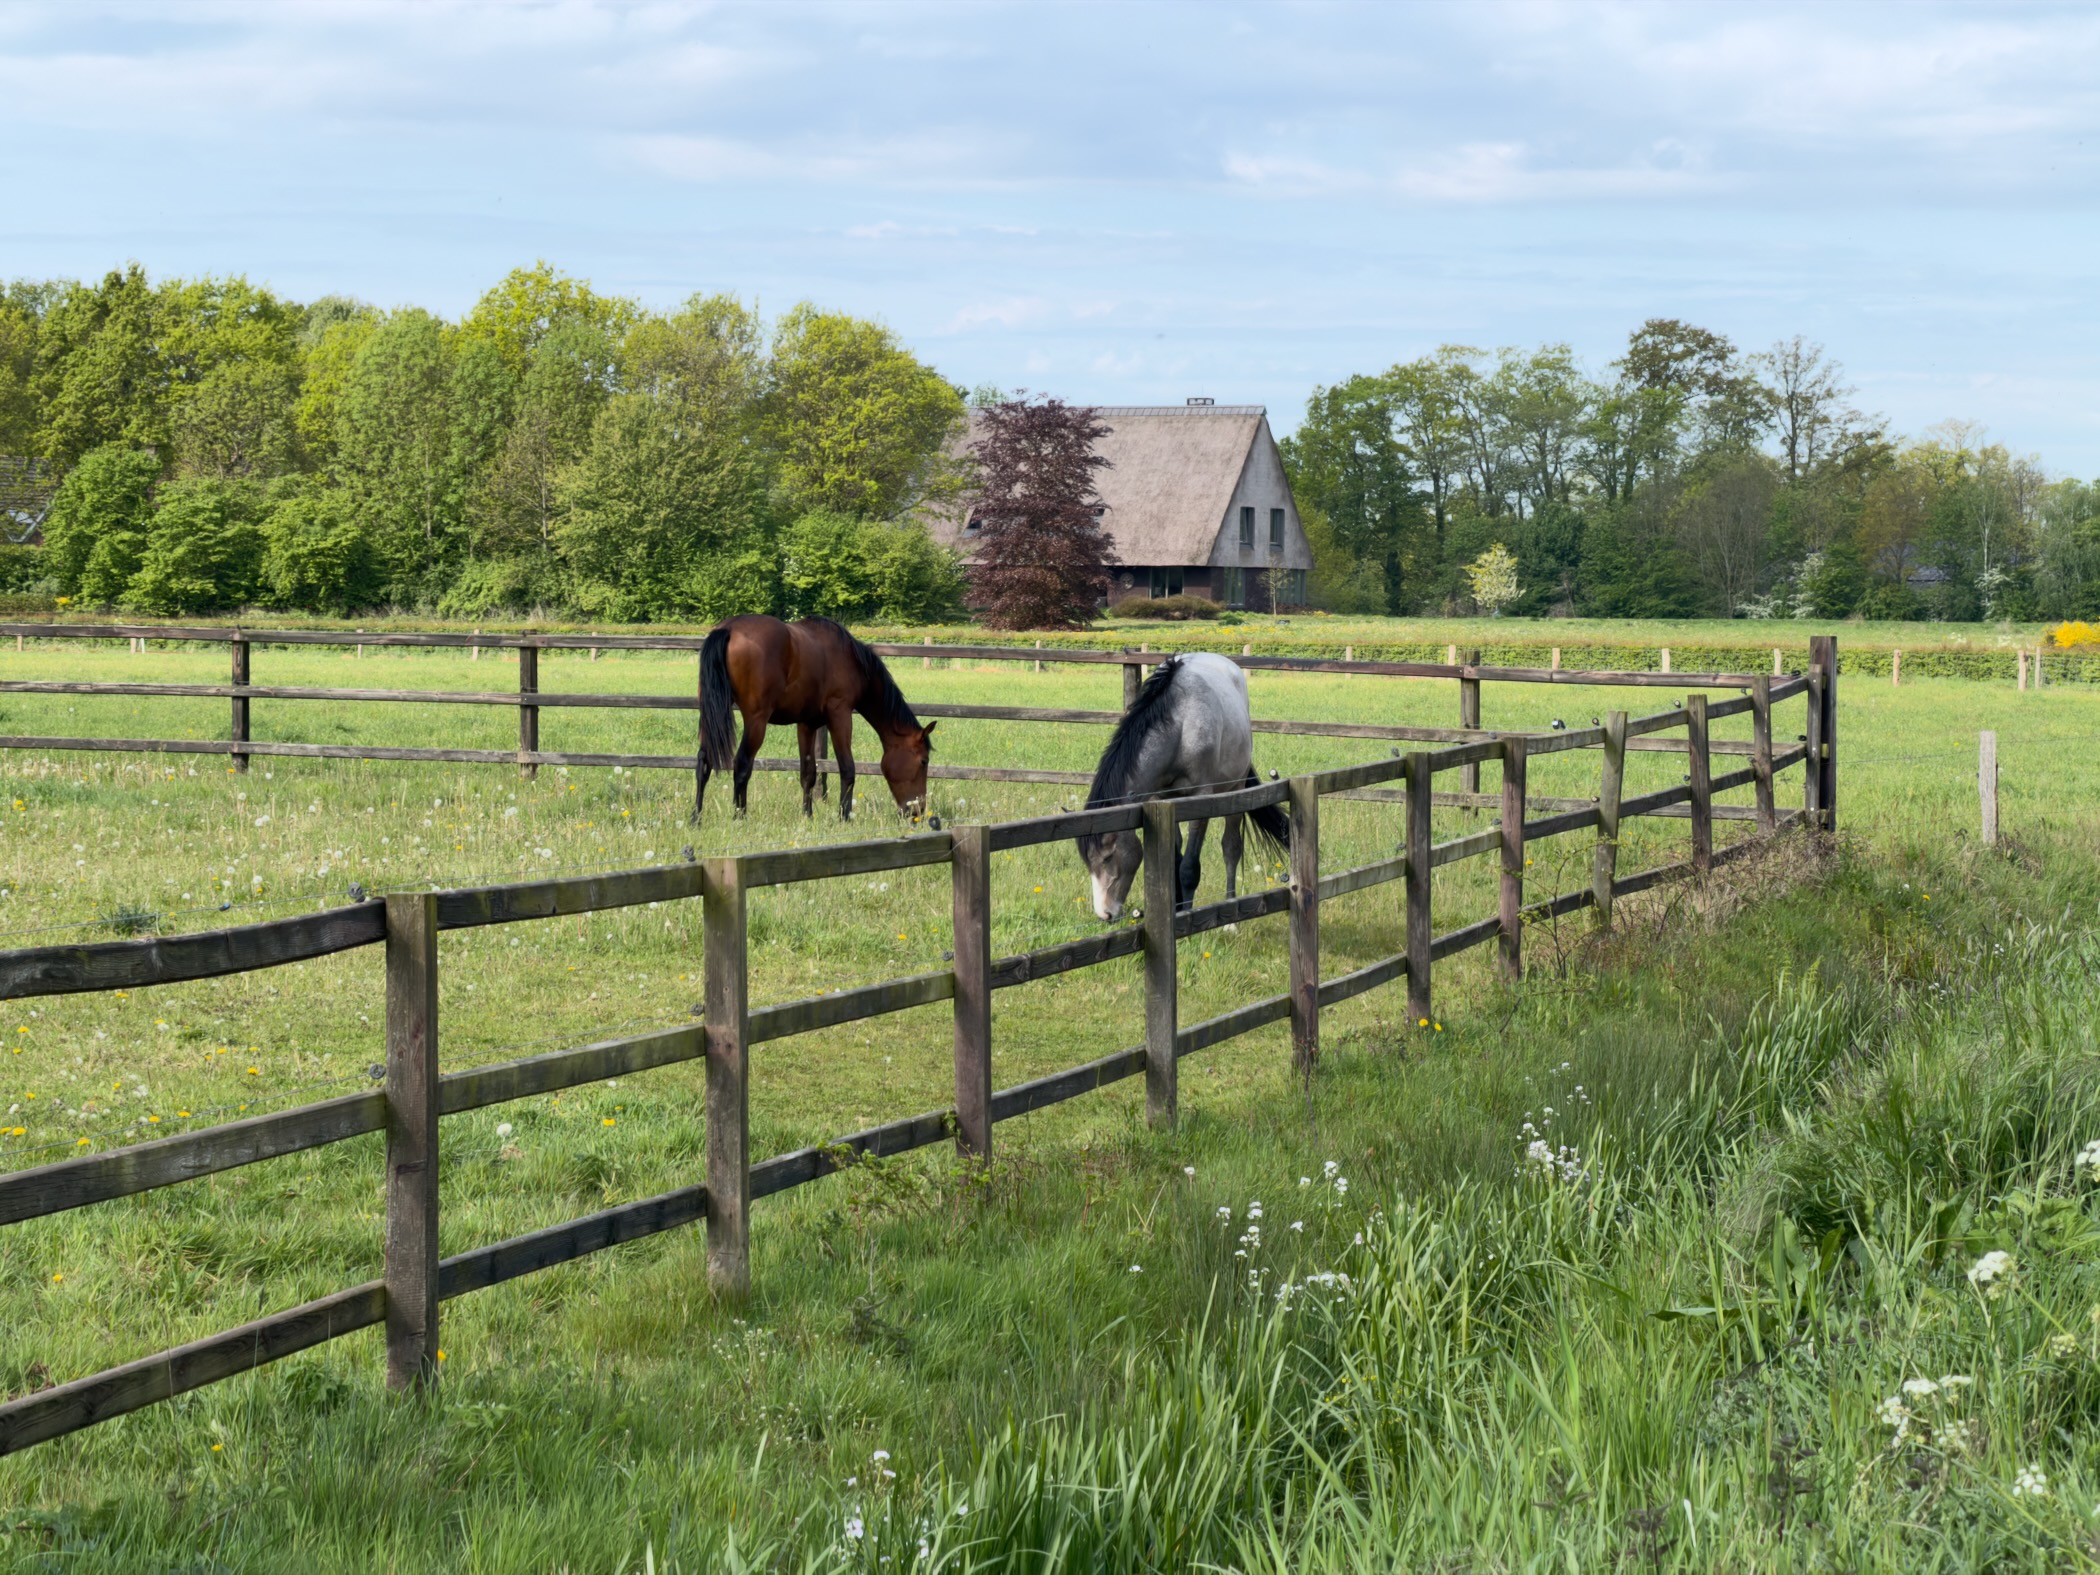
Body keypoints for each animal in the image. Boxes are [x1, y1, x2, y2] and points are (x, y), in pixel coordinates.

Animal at [697, 615, 937, 822]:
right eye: (923, 761)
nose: (918, 811)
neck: (851, 658)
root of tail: (728, 629)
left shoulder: (807, 724)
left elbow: (808, 773)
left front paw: (807, 815)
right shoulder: (840, 715)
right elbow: (847, 768)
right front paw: (844, 817)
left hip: (709, 715)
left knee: (704, 762)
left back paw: (695, 818)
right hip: (756, 721)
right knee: (742, 765)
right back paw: (739, 817)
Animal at [1075, 653, 1288, 922]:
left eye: (1108, 857)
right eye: (1088, 861)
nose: (1105, 914)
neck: (1180, 726)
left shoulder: (1202, 799)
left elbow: (1189, 866)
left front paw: (1187, 916)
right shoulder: (1161, 799)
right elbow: (1173, 860)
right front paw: (1175, 907)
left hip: (1236, 790)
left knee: (1231, 848)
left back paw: (1231, 911)